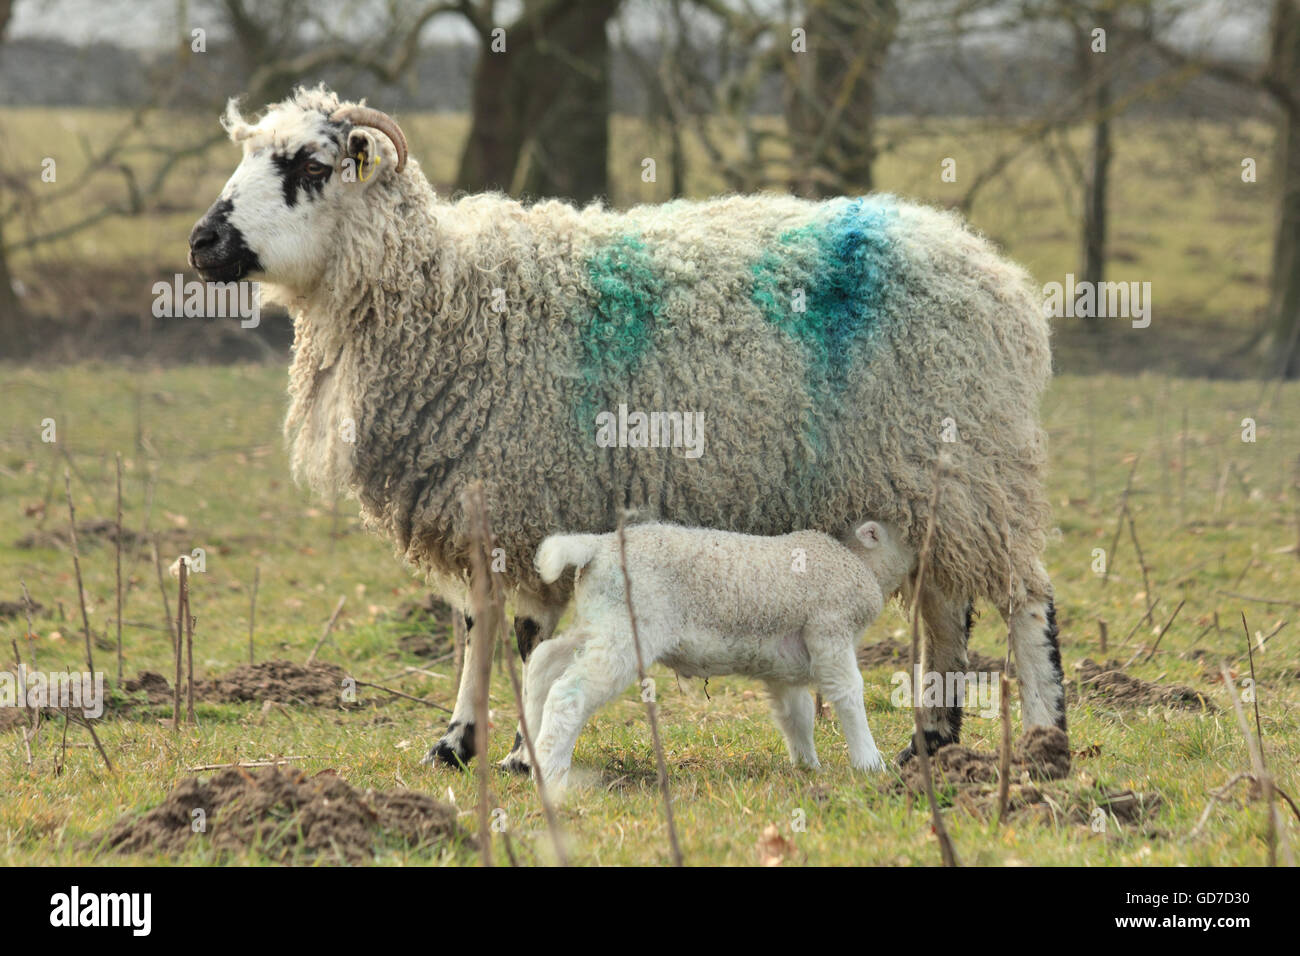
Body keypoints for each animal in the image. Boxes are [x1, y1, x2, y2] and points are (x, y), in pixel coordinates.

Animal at [525, 520, 915, 790]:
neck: (858, 563)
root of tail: (597, 545)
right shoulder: (830, 630)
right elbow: (848, 694)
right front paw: (869, 763)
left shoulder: (783, 666)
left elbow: (796, 714)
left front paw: (807, 766)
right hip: (626, 631)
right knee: (568, 693)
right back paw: (552, 773)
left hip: (597, 620)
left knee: (544, 662)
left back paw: (528, 752)